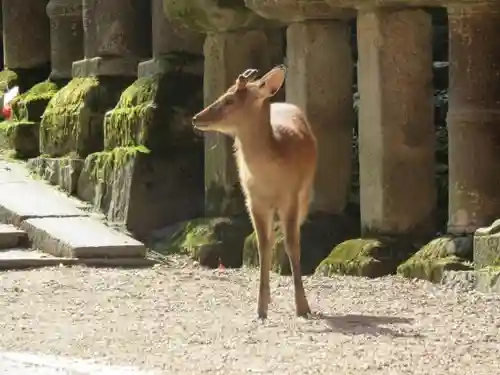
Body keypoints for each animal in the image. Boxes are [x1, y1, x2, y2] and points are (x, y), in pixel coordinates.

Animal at [191, 64, 316, 320]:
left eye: (229, 99)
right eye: (225, 92)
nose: (196, 117)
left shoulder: (290, 196)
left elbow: (292, 244)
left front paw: (302, 307)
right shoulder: (253, 200)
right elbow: (262, 245)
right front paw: (261, 309)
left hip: (305, 194)